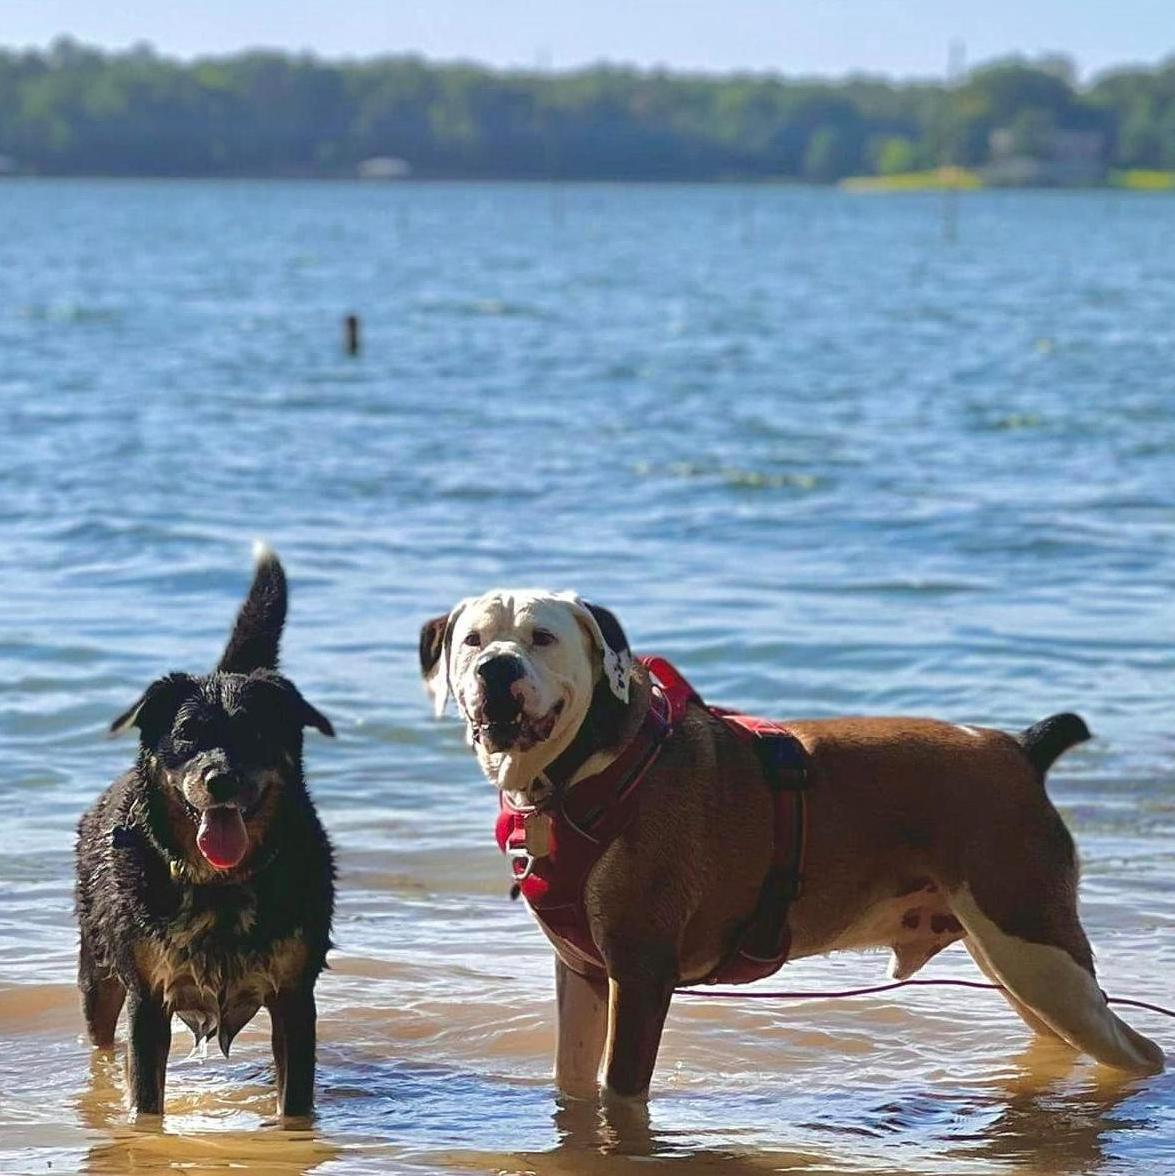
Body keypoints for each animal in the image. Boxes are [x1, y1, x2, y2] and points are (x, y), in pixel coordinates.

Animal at [74, 545, 336, 1114]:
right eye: (187, 736)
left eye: (256, 733)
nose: (221, 780)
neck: (220, 886)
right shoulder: (147, 994)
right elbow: (145, 1091)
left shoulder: (294, 994)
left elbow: (295, 1095)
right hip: (97, 964)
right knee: (101, 1031)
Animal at [421, 592, 1166, 1096]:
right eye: (473, 640)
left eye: (542, 637)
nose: (496, 668)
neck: (588, 770)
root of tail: (1017, 750)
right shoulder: (582, 974)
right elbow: (573, 1086)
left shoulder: (639, 972)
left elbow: (619, 1094)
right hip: (1016, 958)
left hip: (1034, 945)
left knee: (1139, 1050)